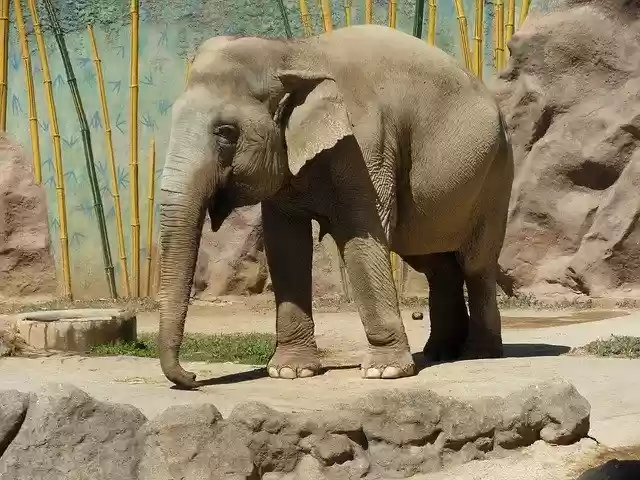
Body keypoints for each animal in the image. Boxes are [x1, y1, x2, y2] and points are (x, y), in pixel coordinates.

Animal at [157, 24, 514, 389]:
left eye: (225, 131)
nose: (192, 376)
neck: (292, 52)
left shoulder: (366, 146)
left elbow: (361, 236)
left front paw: (384, 371)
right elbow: (285, 245)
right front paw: (290, 372)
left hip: (496, 177)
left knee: (475, 264)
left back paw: (479, 353)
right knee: (433, 262)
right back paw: (440, 353)